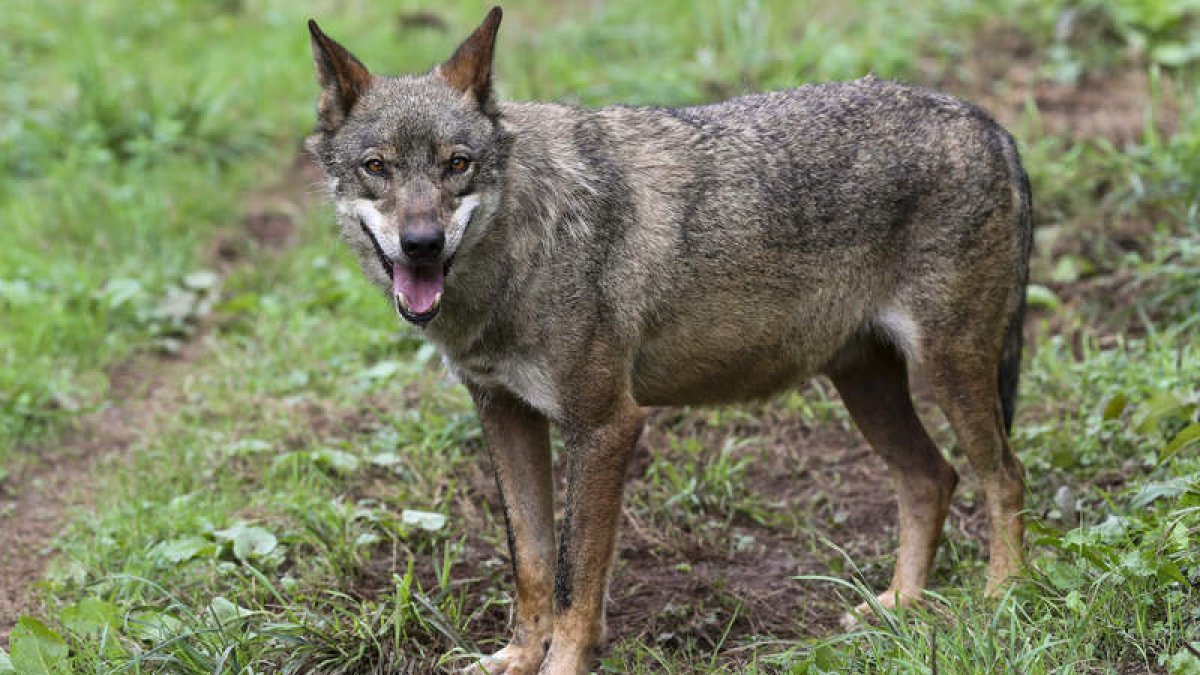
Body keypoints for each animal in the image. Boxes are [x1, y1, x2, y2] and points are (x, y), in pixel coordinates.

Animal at [304, 6, 1027, 672]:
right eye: (377, 167)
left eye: (458, 164)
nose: (421, 244)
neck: (523, 248)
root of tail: (985, 120)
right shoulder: (504, 415)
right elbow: (531, 562)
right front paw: (518, 656)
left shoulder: (607, 426)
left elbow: (572, 580)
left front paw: (561, 662)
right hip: (866, 386)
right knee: (932, 478)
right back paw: (897, 608)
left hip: (950, 371)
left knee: (1004, 476)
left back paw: (1002, 599)